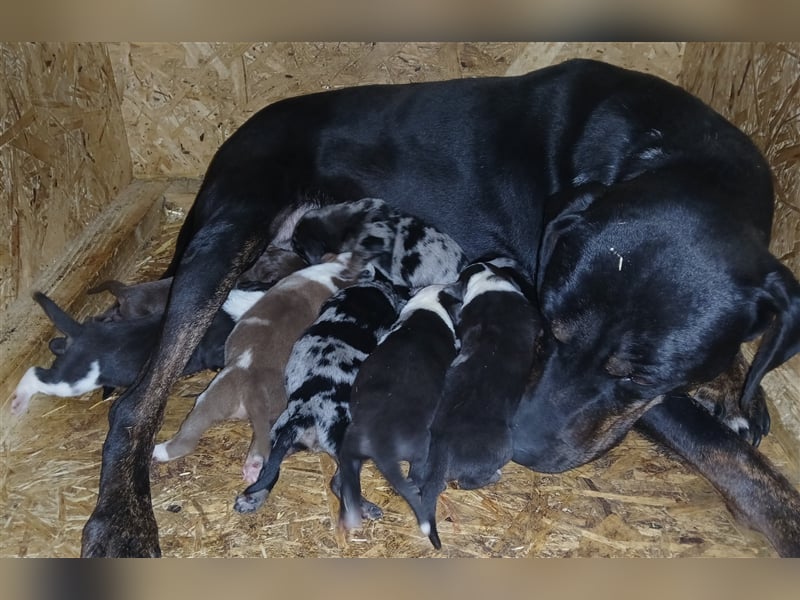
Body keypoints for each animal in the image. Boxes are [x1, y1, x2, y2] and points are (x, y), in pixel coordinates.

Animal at [338, 284, 462, 532]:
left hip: (351, 454)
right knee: (416, 474)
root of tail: (380, 443)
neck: (427, 306)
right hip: (422, 442)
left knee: (341, 482)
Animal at [416, 258, 540, 548]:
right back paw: (494, 476)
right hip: (503, 448)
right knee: (467, 480)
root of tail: (443, 439)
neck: (487, 282)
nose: (446, 287)